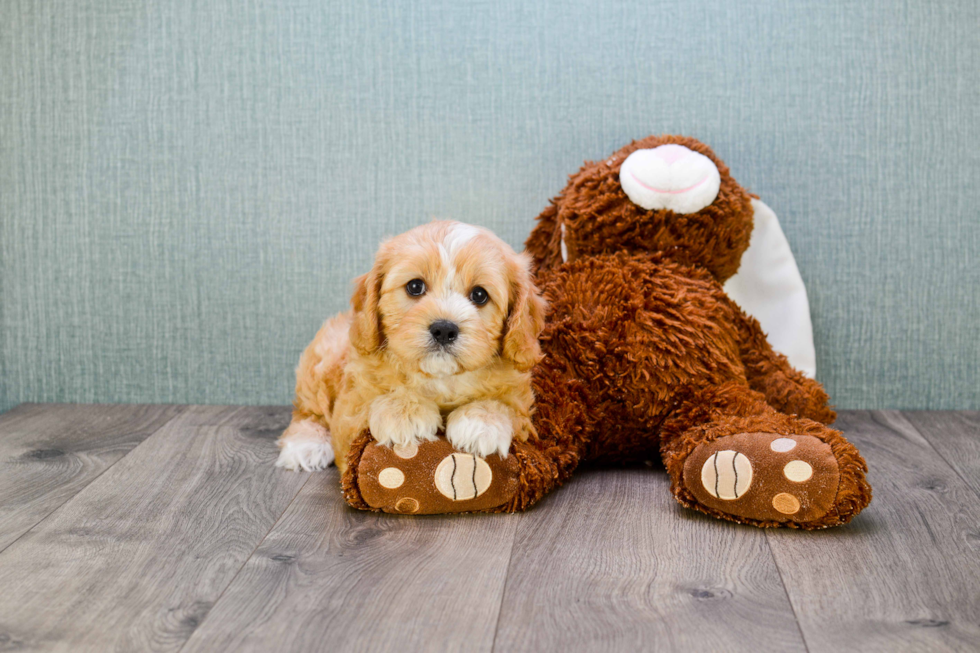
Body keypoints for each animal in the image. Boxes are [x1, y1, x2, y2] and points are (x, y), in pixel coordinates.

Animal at [276, 220, 548, 474]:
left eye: (480, 295)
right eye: (415, 286)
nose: (444, 330)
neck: (440, 379)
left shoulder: (522, 401)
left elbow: (506, 405)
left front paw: (481, 423)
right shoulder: (350, 408)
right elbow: (367, 404)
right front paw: (403, 413)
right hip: (321, 362)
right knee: (309, 410)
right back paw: (306, 445)